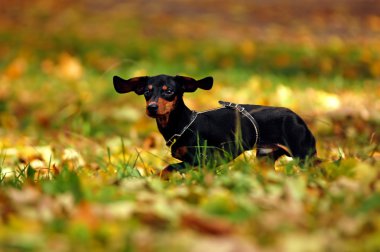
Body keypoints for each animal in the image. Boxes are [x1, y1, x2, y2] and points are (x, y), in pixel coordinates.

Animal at [113, 74, 318, 178]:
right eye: (147, 92)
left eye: (169, 91)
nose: (152, 108)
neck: (183, 124)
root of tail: (297, 117)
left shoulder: (203, 159)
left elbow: (168, 168)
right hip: (265, 158)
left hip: (304, 156)